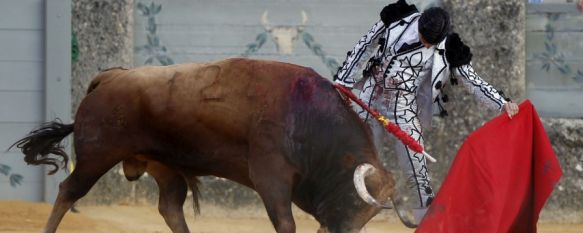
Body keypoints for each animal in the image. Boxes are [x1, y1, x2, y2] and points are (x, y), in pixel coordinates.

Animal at [14, 57, 416, 232]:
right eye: (354, 203)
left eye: (370, 216)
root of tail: (111, 76)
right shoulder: (270, 177)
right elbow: (285, 223)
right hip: (96, 156)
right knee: (68, 191)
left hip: (164, 166)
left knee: (170, 207)